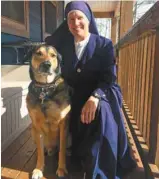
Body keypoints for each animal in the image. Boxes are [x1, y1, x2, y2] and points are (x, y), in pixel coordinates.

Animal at [25, 44, 70, 179]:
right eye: (38, 53)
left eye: (53, 55)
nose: (47, 64)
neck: (44, 89)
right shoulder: (37, 126)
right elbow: (39, 152)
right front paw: (38, 169)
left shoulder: (63, 124)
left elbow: (61, 150)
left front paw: (61, 169)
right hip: (33, 132)